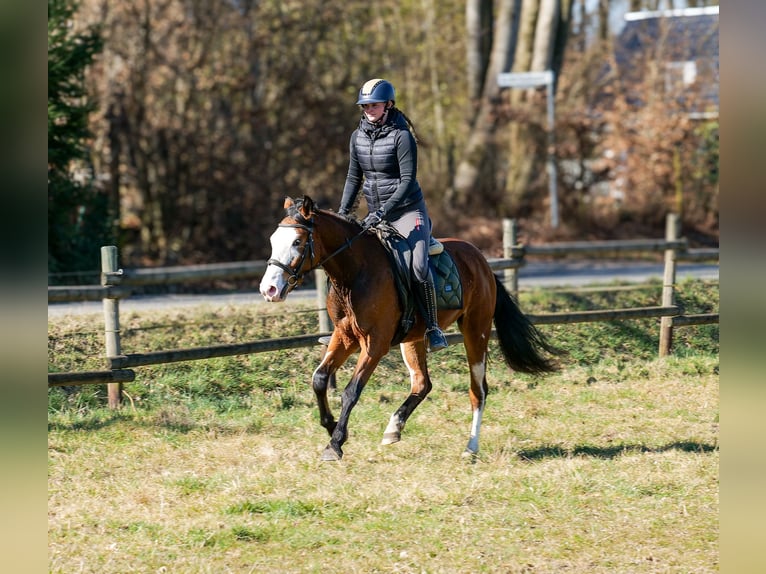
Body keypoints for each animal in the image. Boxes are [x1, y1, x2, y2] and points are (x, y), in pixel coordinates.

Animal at [260, 196, 560, 462]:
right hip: (413, 339)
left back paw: (470, 448)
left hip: (476, 331)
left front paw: (335, 445)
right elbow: (320, 379)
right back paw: (394, 428)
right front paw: (332, 426)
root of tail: (481, 261)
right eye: (273, 241)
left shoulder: (375, 344)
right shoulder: (344, 336)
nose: (269, 290)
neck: (354, 272)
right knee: (422, 383)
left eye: (297, 242)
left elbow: (351, 391)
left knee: (479, 390)